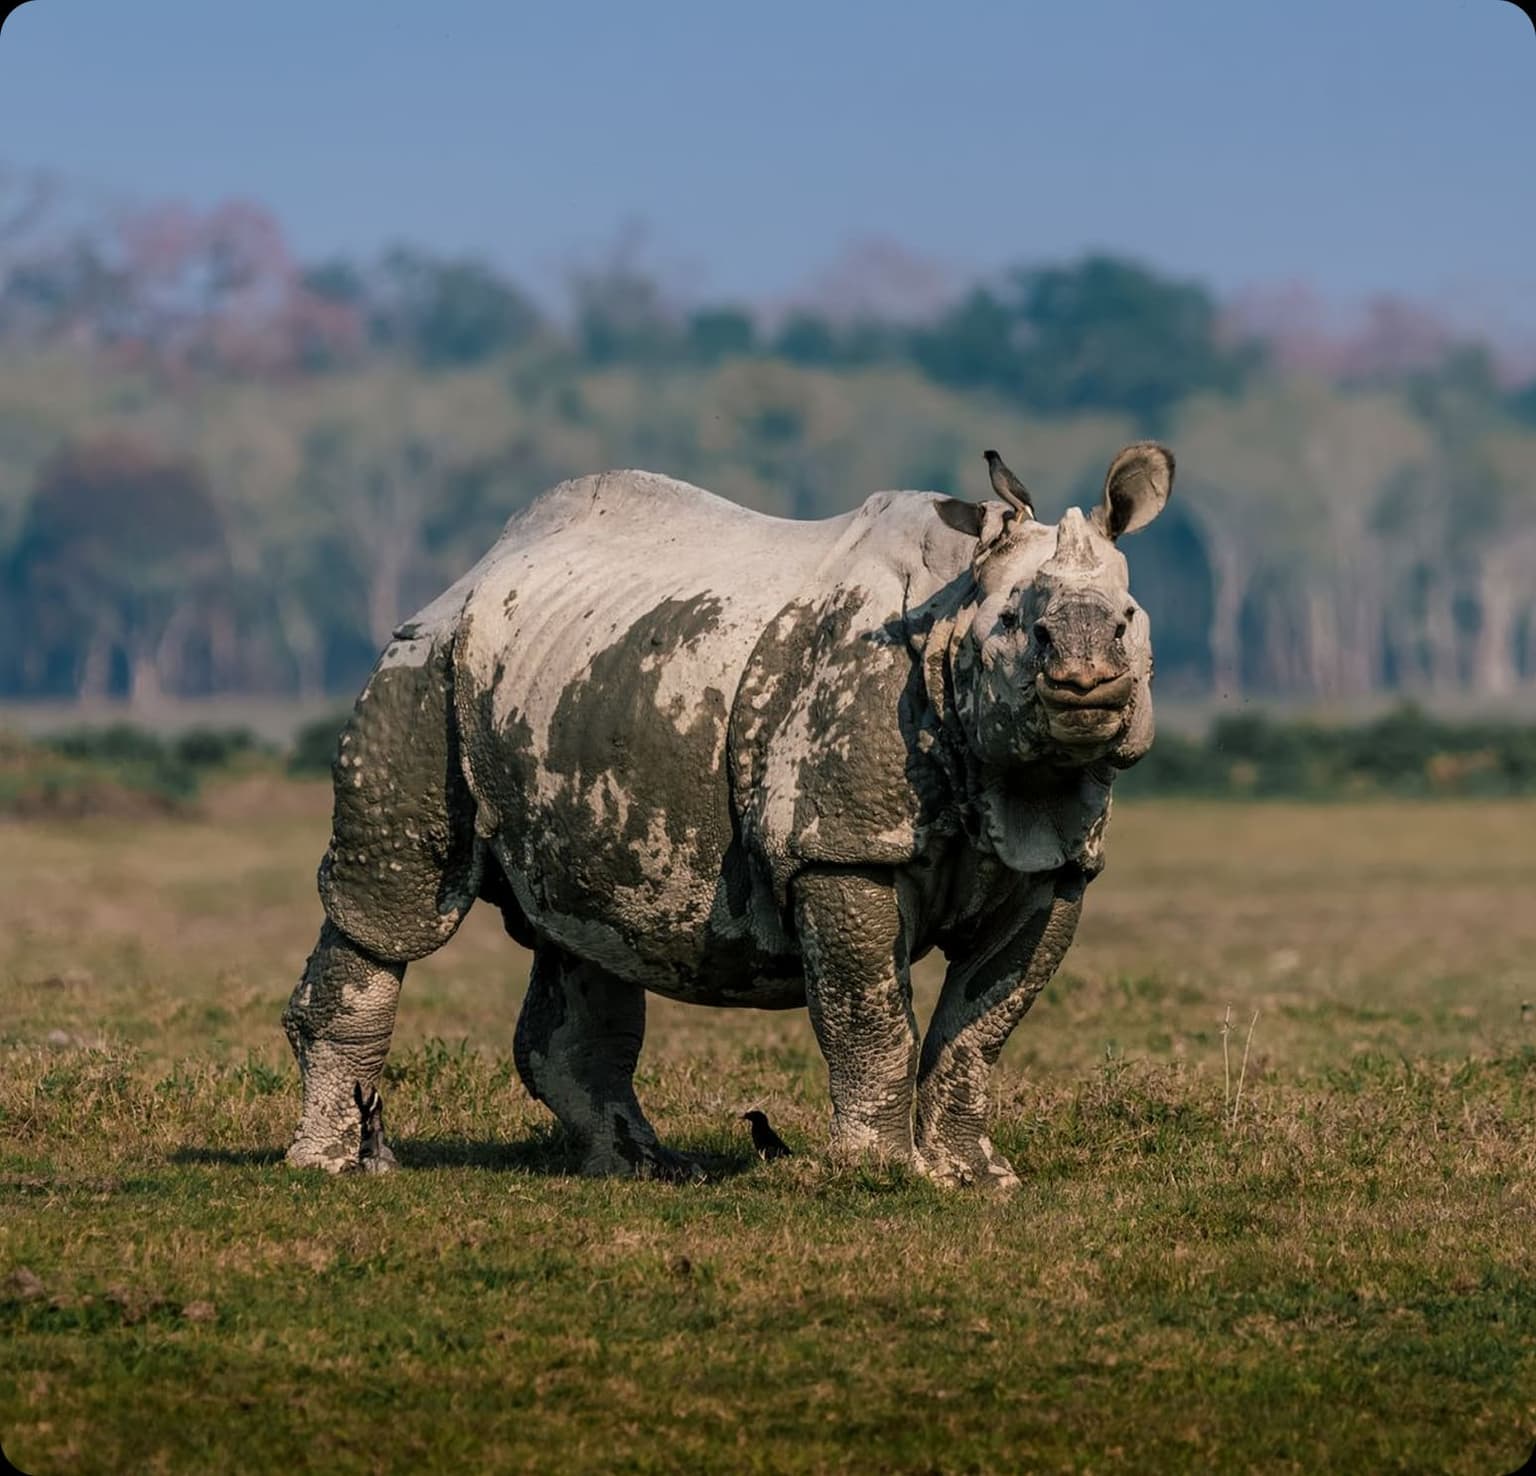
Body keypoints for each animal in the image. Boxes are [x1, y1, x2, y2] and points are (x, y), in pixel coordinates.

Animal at [282, 441, 1174, 1189]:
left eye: (1130, 621)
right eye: (1019, 626)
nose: (1086, 676)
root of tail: (474, 572)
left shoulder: (1055, 865)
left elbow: (980, 1028)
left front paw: (976, 1179)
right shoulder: (838, 847)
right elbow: (870, 1015)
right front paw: (879, 1175)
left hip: (569, 682)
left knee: (585, 933)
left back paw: (644, 1169)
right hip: (418, 669)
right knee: (393, 916)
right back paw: (336, 1167)